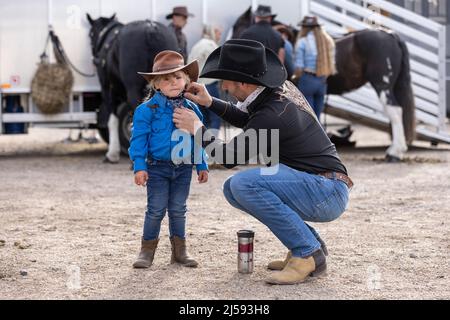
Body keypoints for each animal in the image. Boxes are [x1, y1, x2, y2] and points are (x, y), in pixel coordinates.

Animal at [86, 13, 179, 162]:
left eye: (91, 34)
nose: (94, 60)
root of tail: (150, 29)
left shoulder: (108, 89)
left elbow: (113, 119)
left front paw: (112, 153)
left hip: (132, 90)